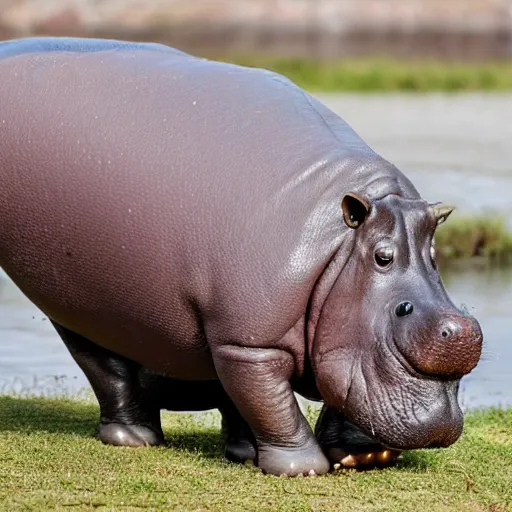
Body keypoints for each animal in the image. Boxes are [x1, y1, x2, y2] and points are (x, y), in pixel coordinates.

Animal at [0, 36, 484, 476]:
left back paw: (241, 453)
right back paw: (135, 440)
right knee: (107, 371)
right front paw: (303, 469)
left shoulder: (306, 331)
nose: (440, 426)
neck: (341, 252)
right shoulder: (251, 345)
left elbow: (328, 392)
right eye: (383, 260)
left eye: (436, 258)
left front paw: (359, 458)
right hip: (81, 311)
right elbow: (274, 403)